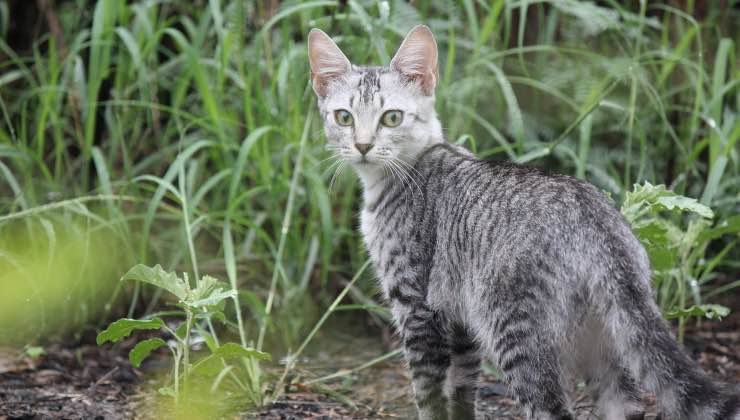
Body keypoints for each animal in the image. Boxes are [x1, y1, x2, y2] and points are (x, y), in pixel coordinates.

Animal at [304, 25, 736, 420]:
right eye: (344, 117)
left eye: (392, 117)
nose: (362, 145)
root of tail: (596, 221)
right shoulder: (460, 323)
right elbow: (461, 394)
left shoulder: (416, 307)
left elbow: (428, 395)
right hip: (606, 341)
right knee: (625, 405)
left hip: (517, 333)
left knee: (550, 409)